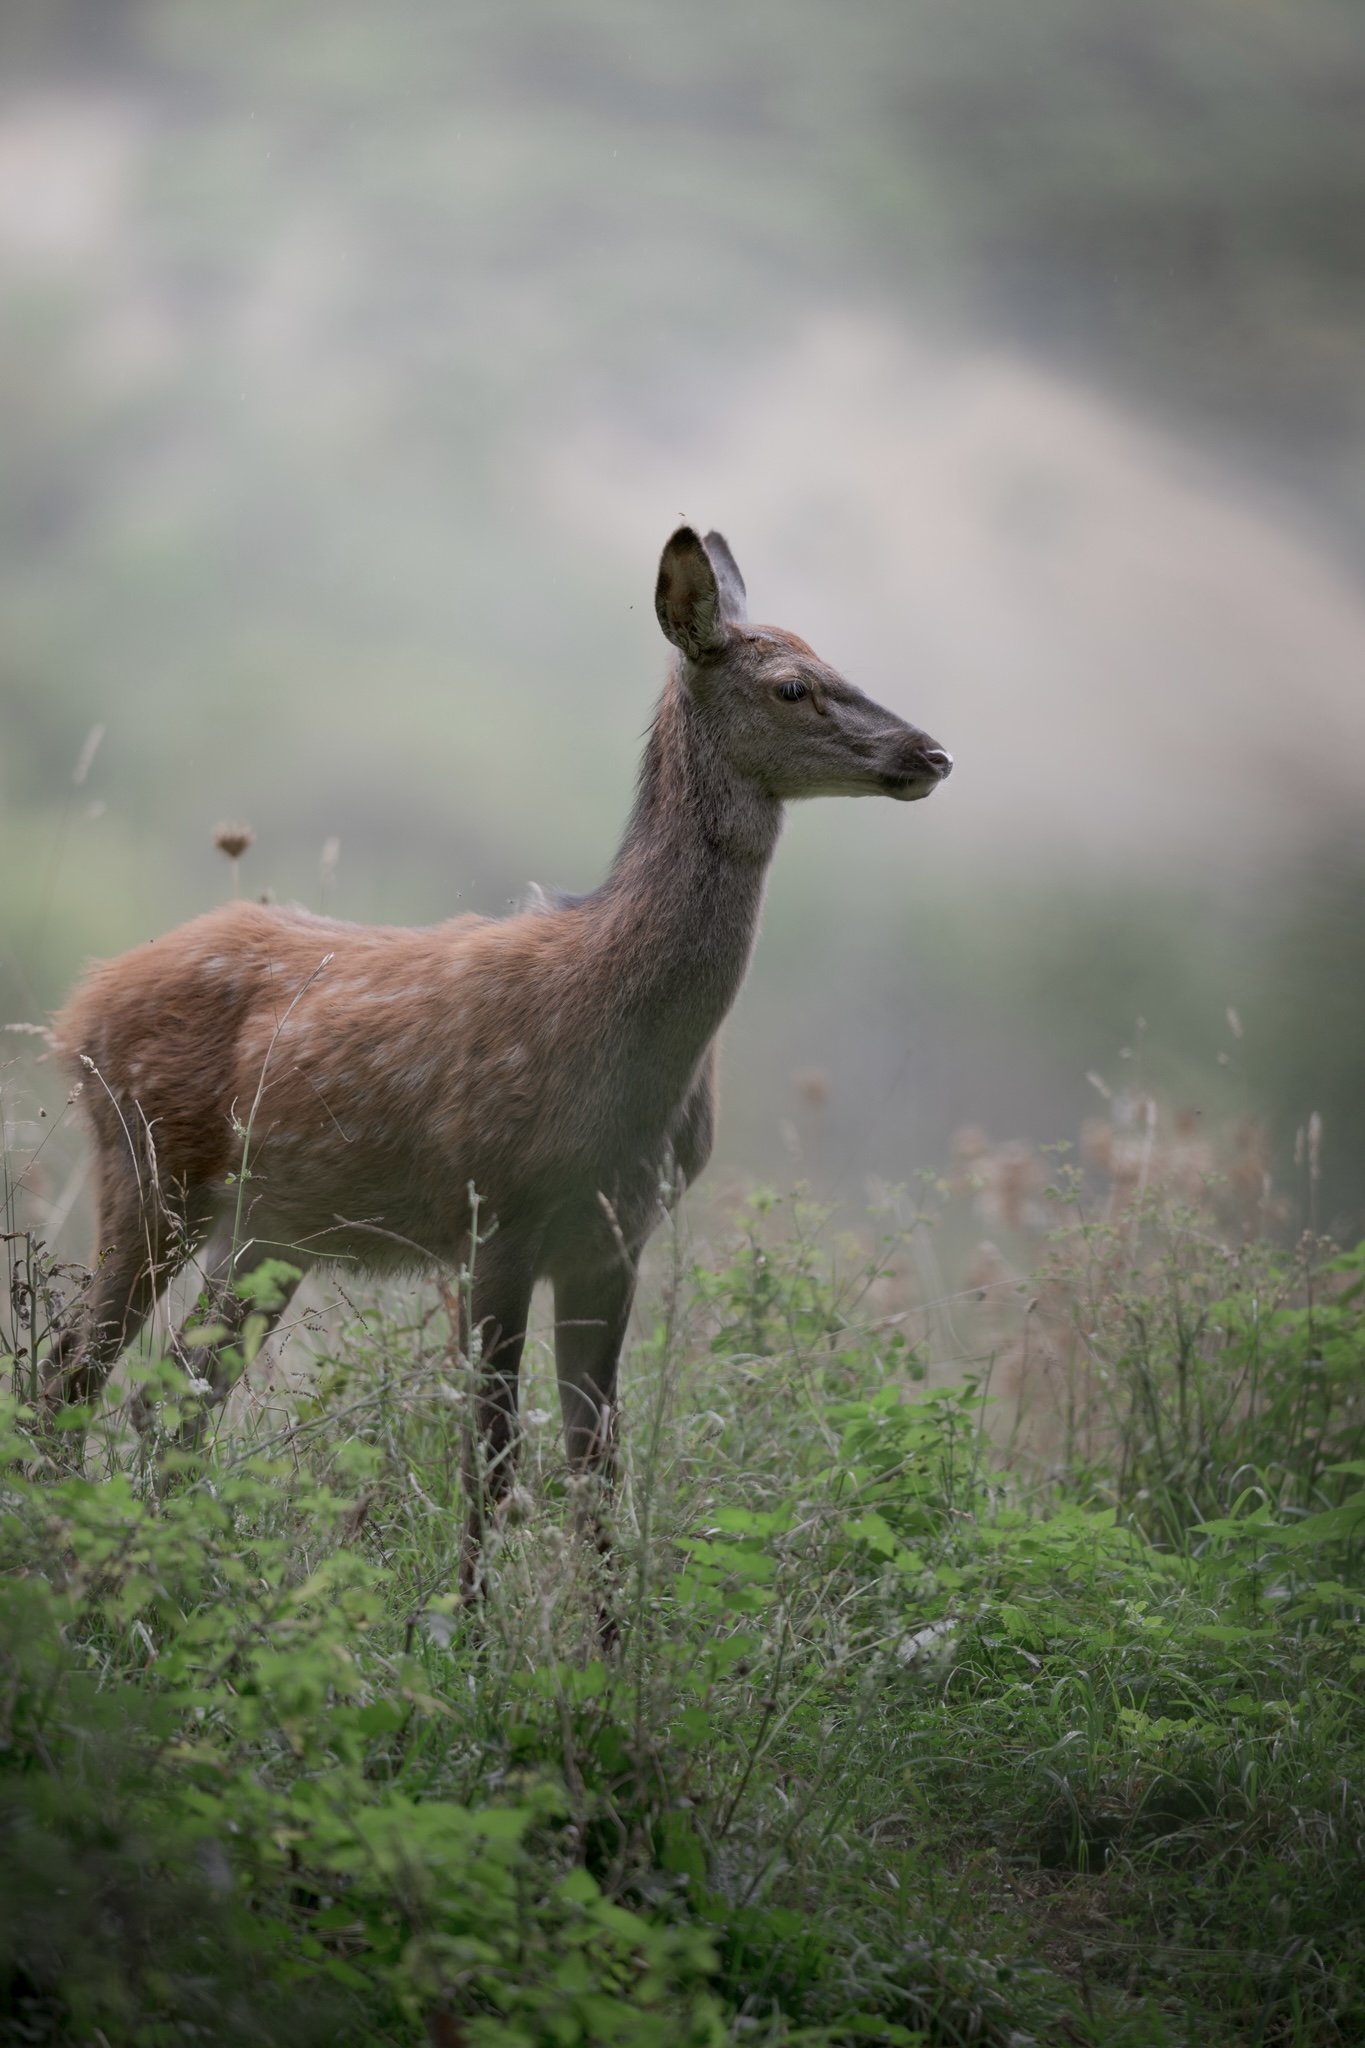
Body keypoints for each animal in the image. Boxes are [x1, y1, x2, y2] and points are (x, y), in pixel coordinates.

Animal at [45, 526, 951, 1590]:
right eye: (791, 686)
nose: (930, 752)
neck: (623, 1042)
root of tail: (79, 1005)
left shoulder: (615, 1236)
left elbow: (595, 1465)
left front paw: (603, 1636)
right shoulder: (494, 1216)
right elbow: (492, 1458)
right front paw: (466, 1628)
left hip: (266, 1228)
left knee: (172, 1396)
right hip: (146, 1167)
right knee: (74, 1372)